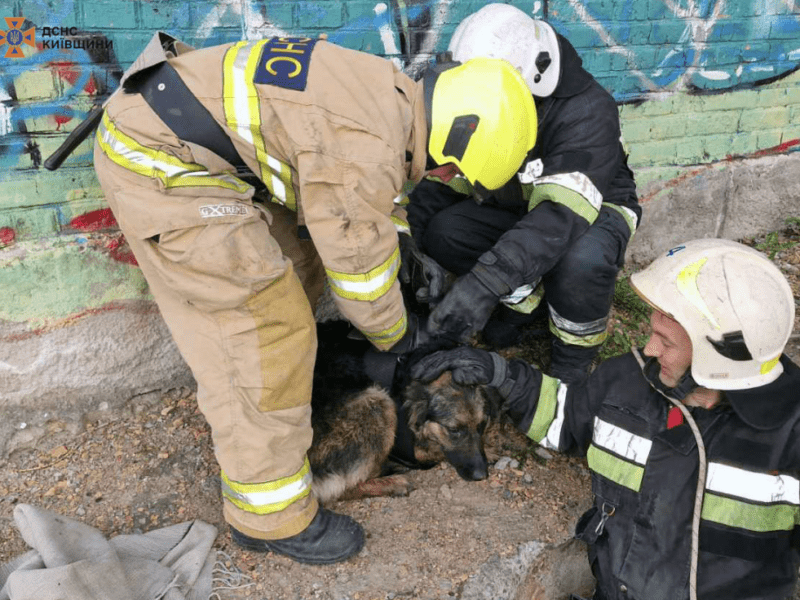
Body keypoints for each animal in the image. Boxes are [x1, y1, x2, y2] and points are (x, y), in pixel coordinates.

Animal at [308, 322, 500, 504]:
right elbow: (435, 449)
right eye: (454, 430)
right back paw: (392, 483)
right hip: (377, 401)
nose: (481, 475)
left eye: (482, 424)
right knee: (335, 492)